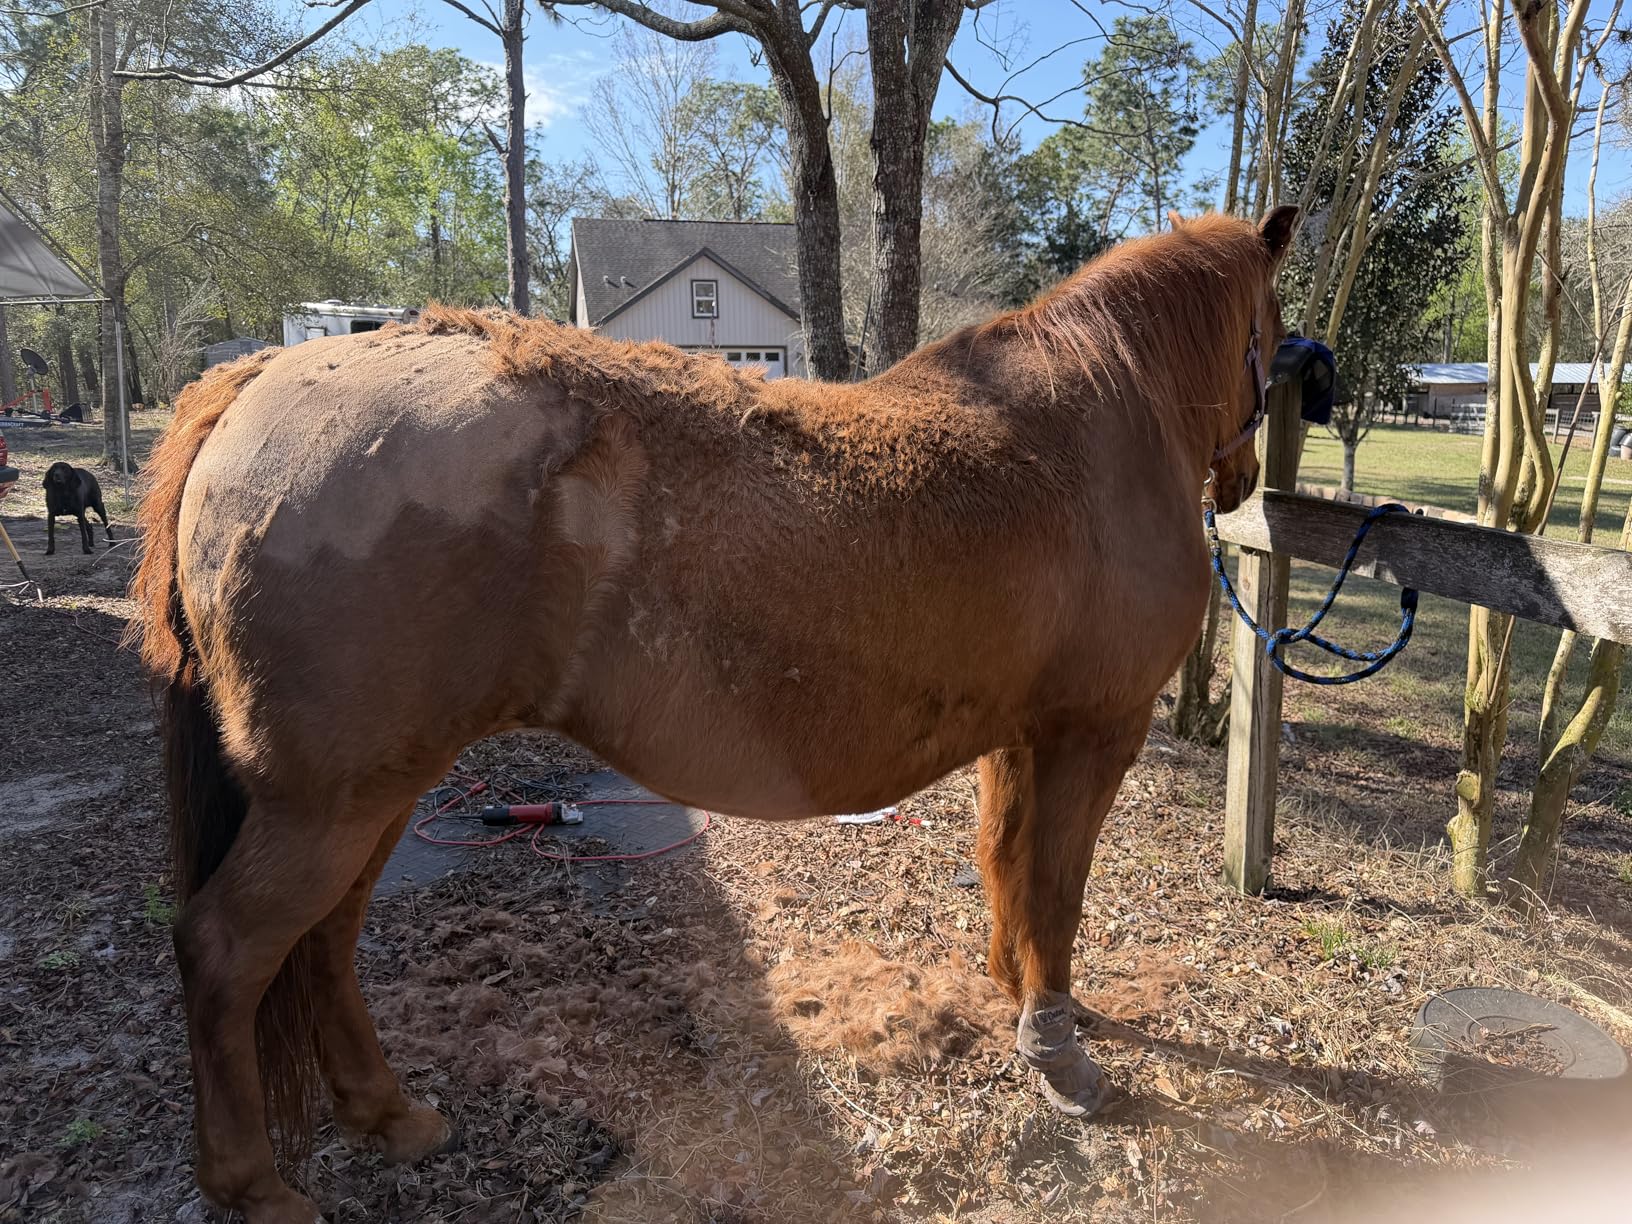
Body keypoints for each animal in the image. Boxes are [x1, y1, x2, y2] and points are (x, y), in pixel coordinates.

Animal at [132, 207, 1295, 1222]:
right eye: (1276, 337)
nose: (1242, 477)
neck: (1098, 419)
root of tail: (259, 379)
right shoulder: (1094, 732)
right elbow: (1055, 889)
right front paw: (1059, 1052)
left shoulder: (1021, 736)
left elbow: (1010, 871)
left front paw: (1019, 997)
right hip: (330, 801)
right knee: (226, 951)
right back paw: (254, 1186)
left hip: (376, 791)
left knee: (324, 940)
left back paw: (388, 1114)